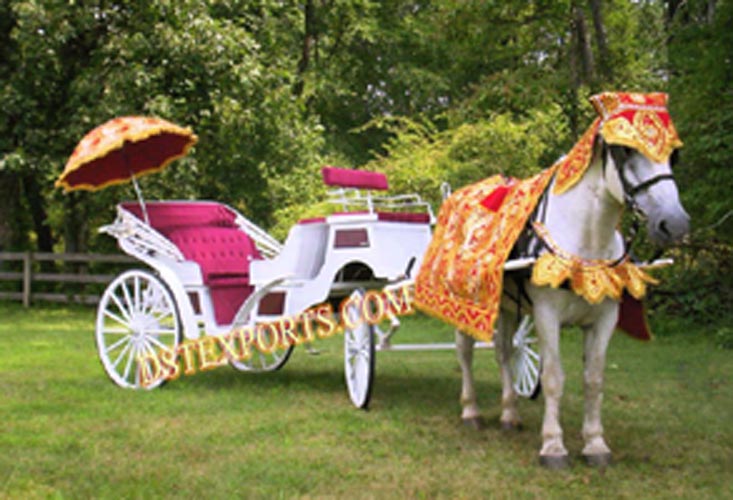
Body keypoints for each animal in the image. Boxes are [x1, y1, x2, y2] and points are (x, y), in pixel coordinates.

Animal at [454, 135, 688, 466]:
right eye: (625, 150)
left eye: (673, 155)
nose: (675, 223)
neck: (587, 242)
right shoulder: (546, 314)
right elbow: (553, 377)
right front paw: (553, 446)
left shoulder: (604, 319)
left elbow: (594, 379)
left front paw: (595, 444)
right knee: (465, 353)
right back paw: (470, 410)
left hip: (506, 306)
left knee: (503, 352)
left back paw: (510, 414)